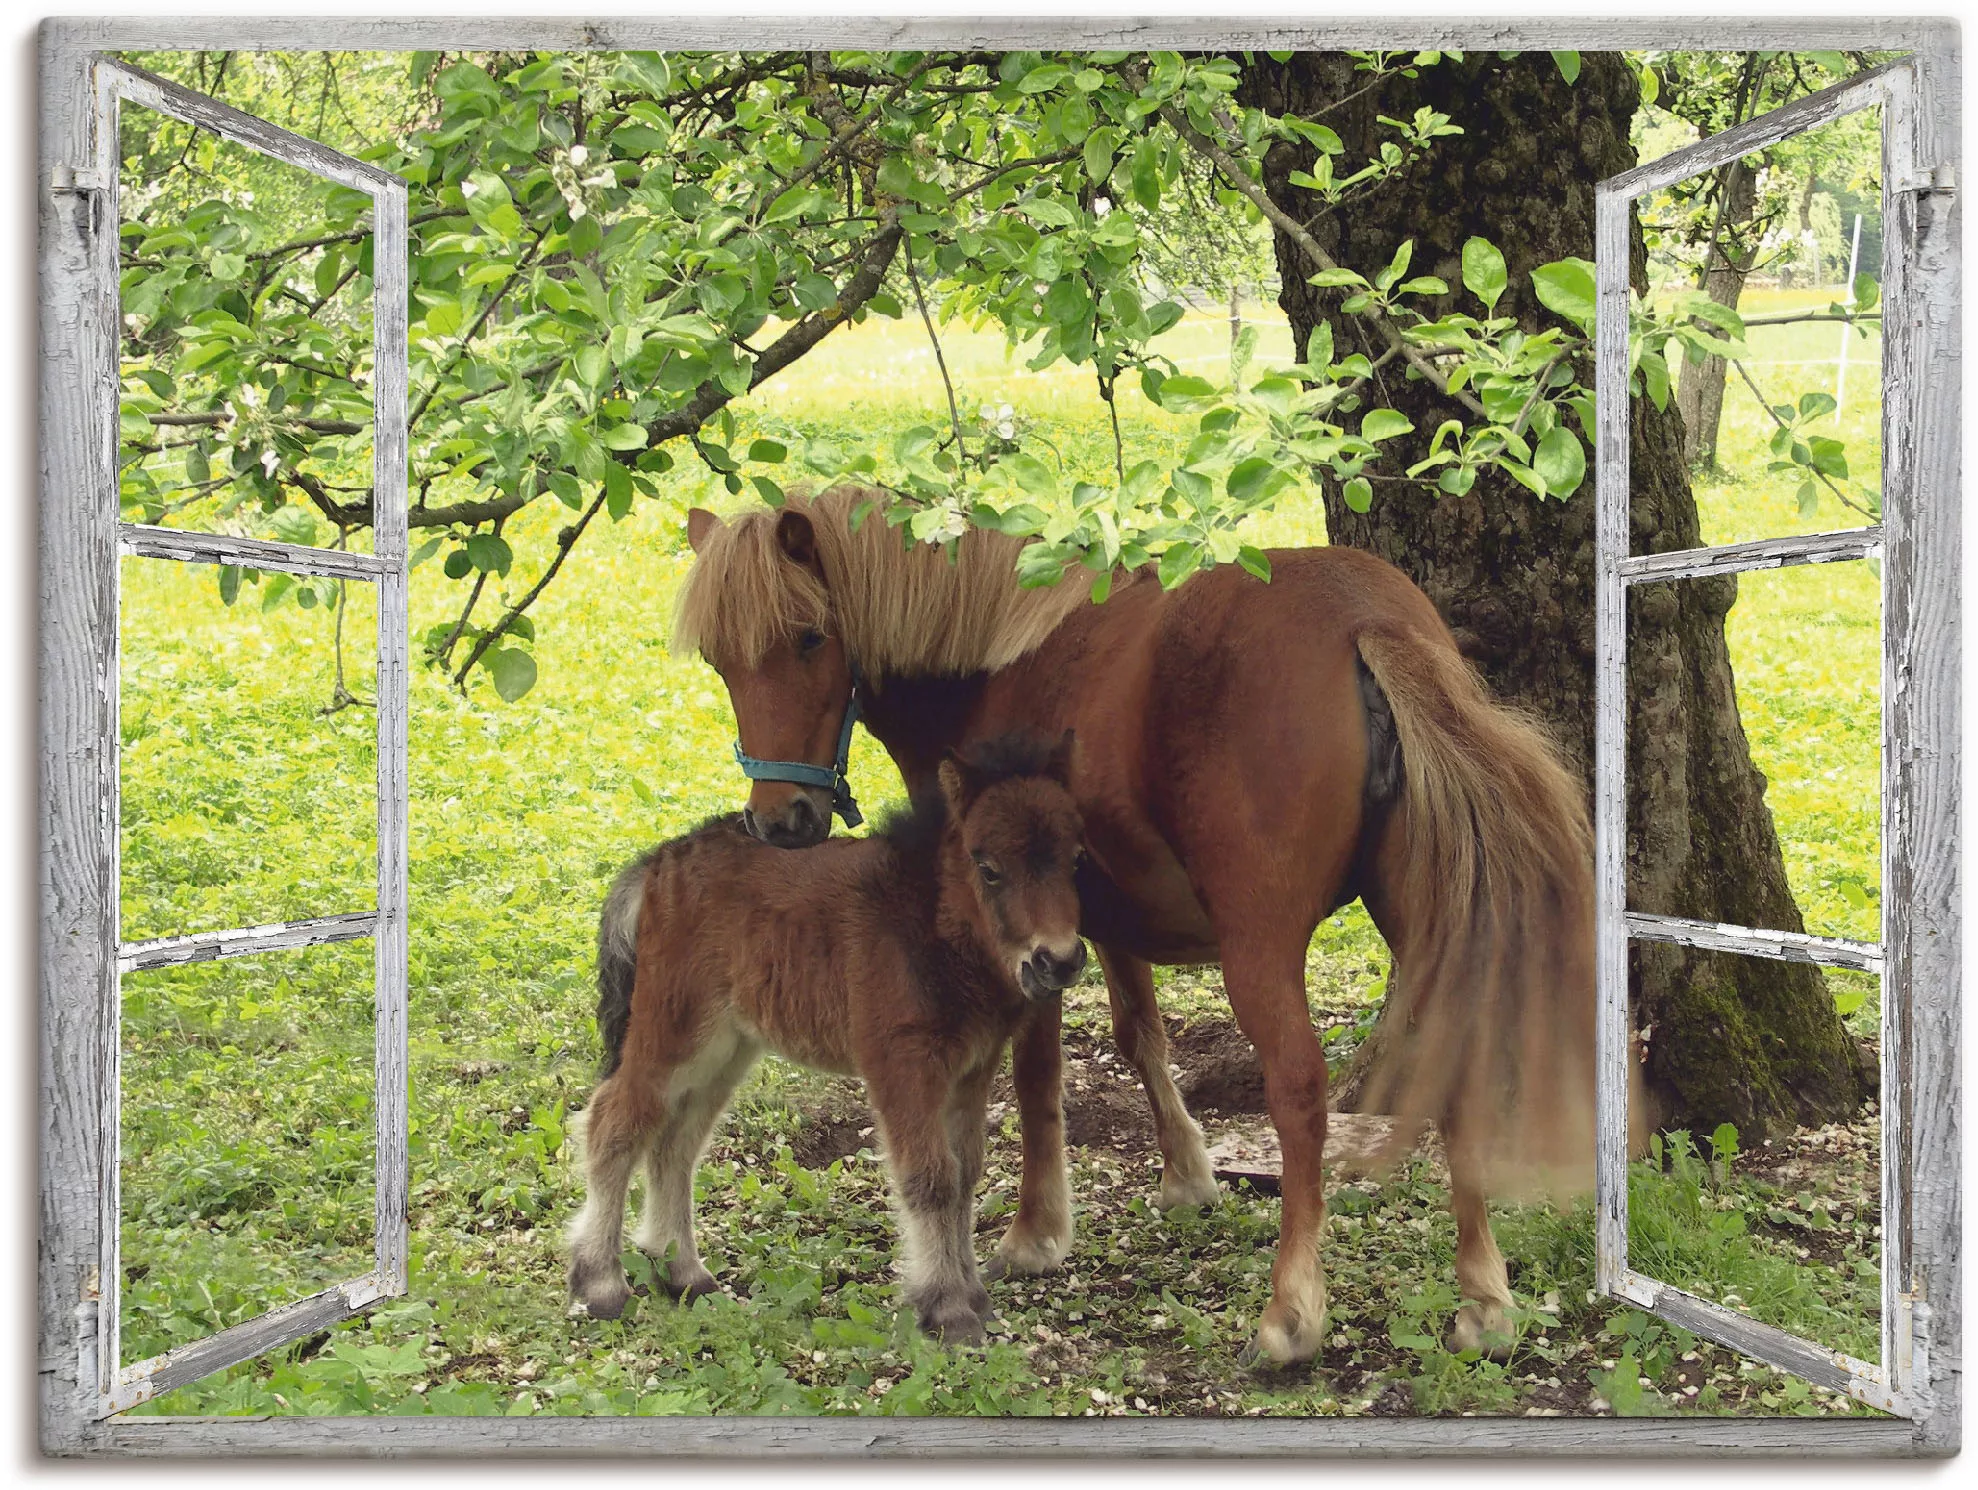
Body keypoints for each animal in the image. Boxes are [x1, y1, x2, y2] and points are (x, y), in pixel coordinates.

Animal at [565, 728, 1091, 1337]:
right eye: (989, 869)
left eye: (1075, 860)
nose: (1058, 961)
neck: (927, 920)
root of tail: (659, 862)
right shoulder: (900, 1063)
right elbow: (931, 1177)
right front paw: (948, 1309)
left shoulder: (971, 1070)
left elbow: (964, 1177)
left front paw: (973, 1298)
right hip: (673, 1030)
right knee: (615, 1122)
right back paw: (600, 1284)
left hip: (726, 1048)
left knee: (676, 1142)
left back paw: (683, 1274)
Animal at [680, 484, 1606, 1361]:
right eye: (721, 661)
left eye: (808, 639)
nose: (780, 821)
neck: (993, 661)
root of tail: (1363, 618)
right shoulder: (1106, 920)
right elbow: (1139, 1037)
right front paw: (1187, 1175)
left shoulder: (1026, 940)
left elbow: (1038, 1076)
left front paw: (1036, 1230)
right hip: (1424, 915)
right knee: (1455, 1057)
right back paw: (1484, 1298)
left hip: (1259, 944)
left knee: (1298, 1089)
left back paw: (1291, 1313)